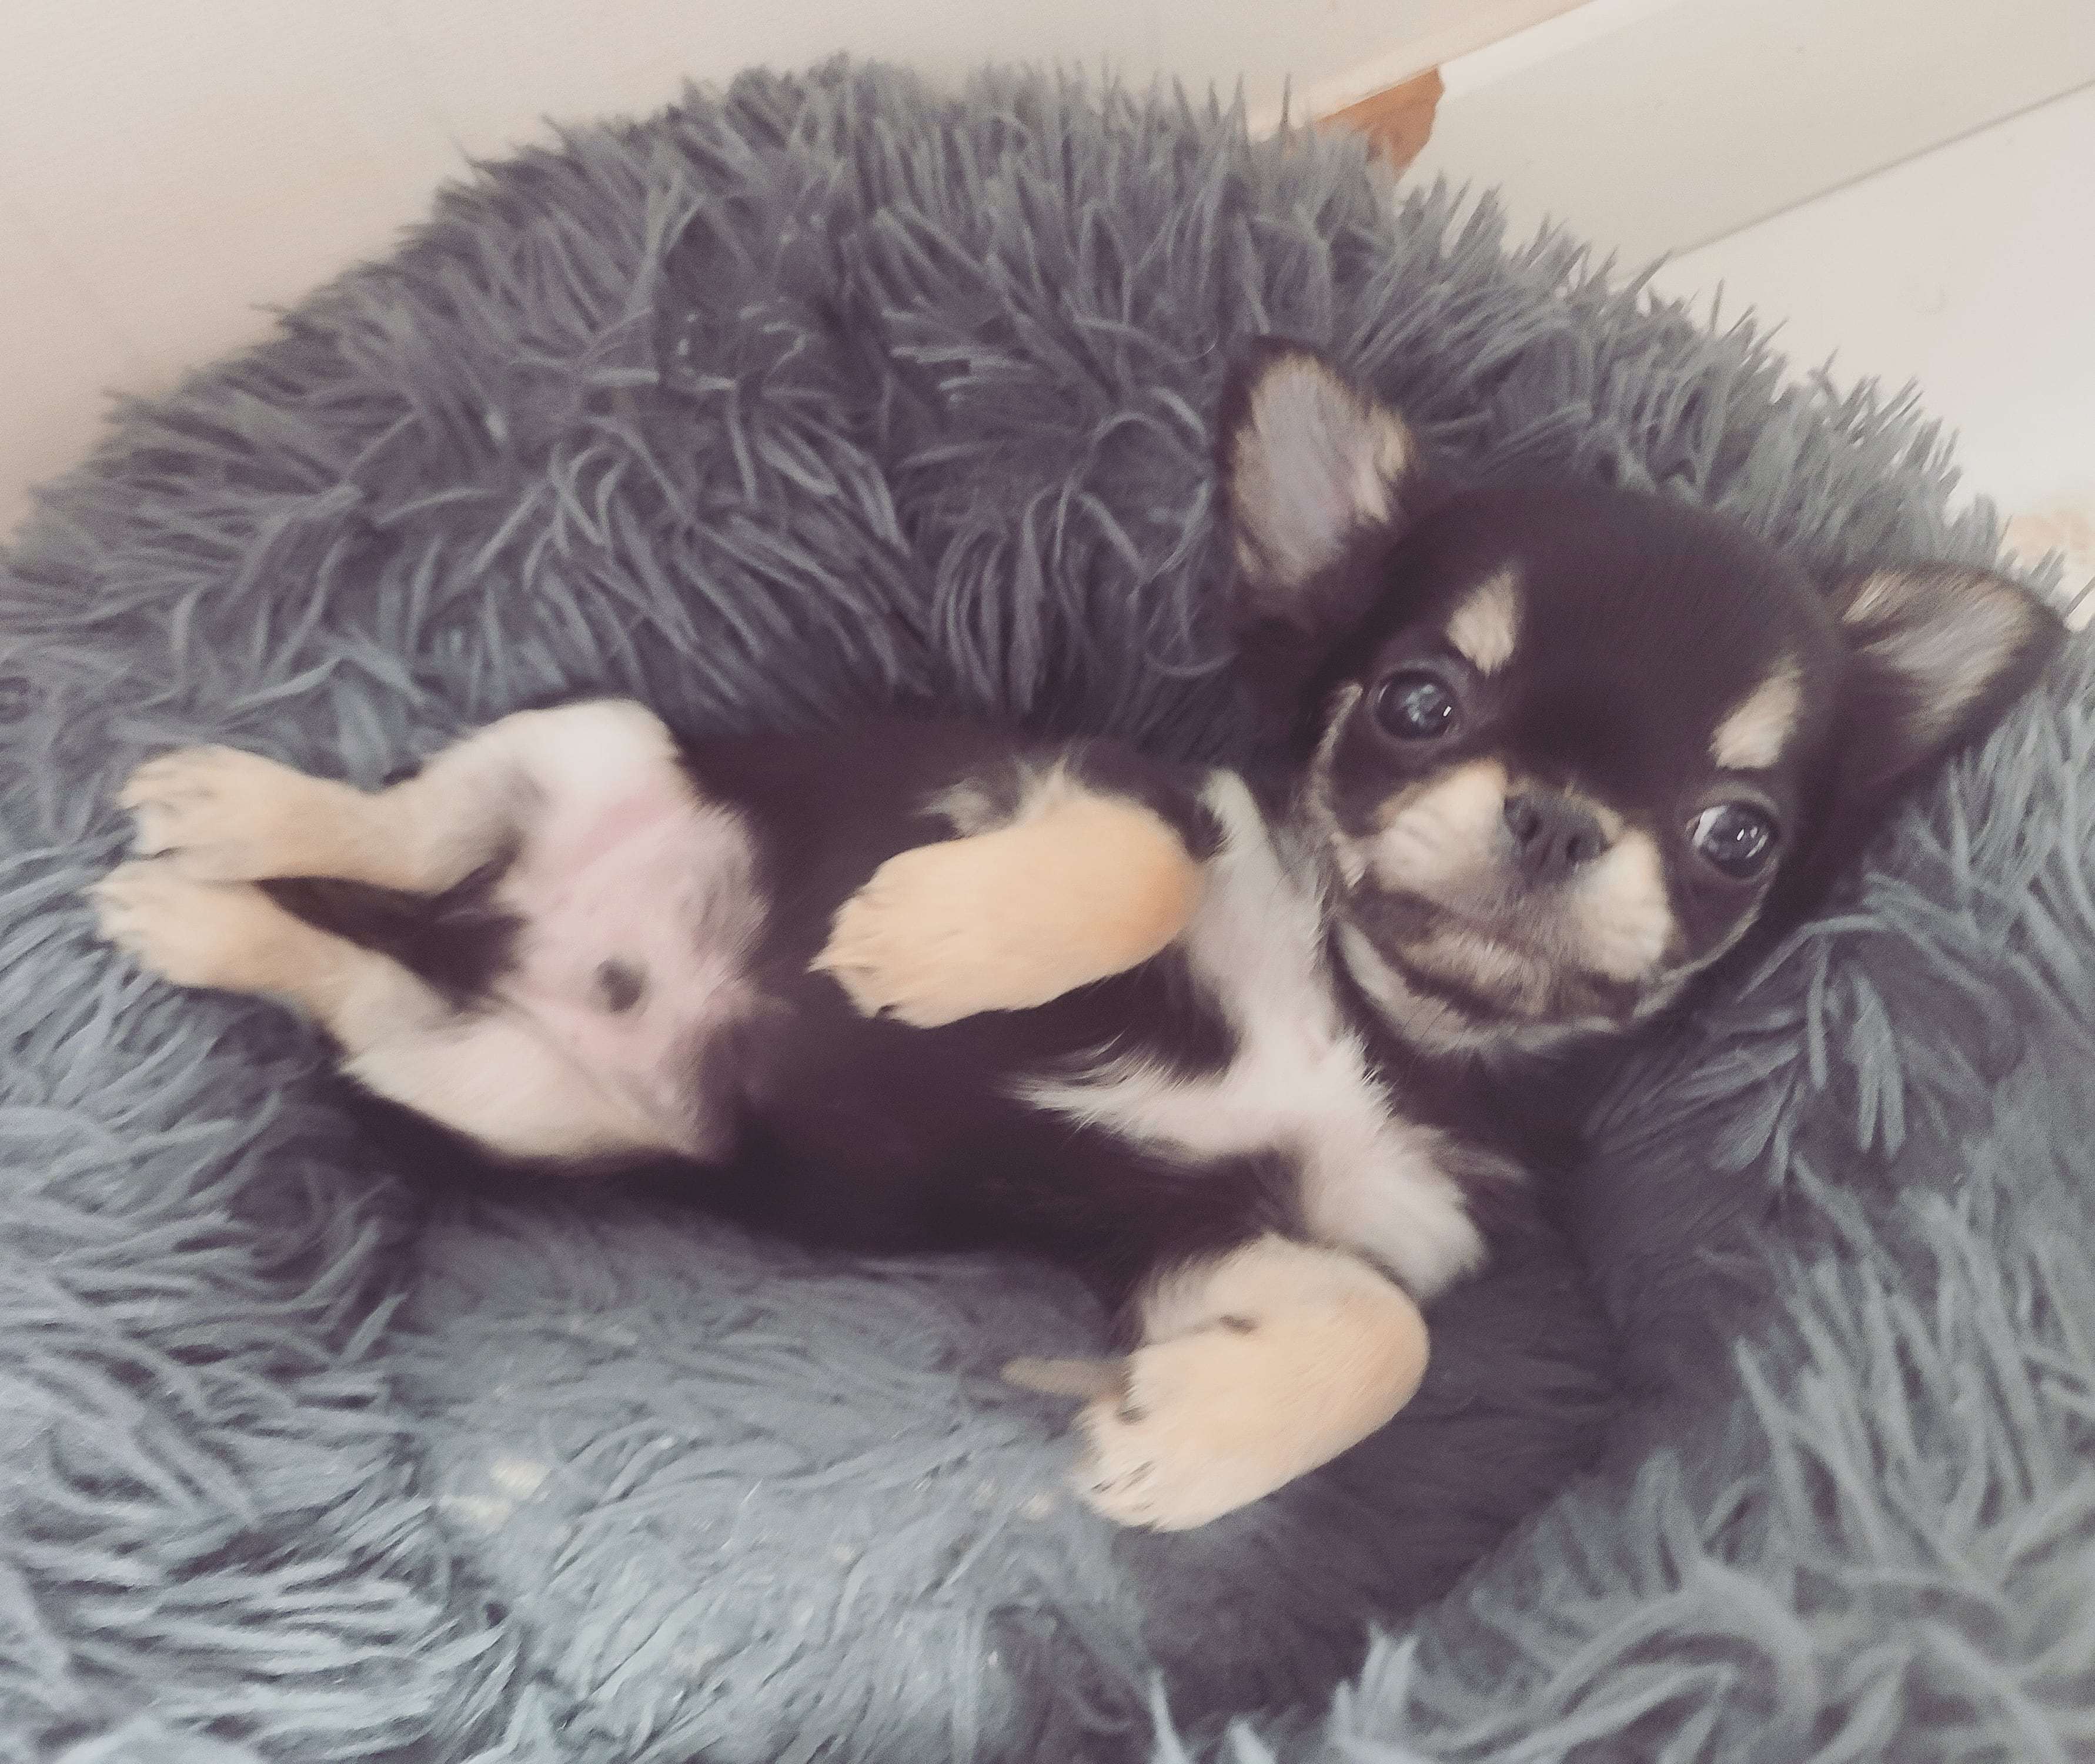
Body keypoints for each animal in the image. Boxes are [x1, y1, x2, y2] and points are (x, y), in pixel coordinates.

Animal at [92, 343, 2061, 1529]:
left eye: (1736, 837)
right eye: (1416, 704)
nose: (1563, 816)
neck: (1370, 1023)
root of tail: (515, 943)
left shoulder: (1215, 1246)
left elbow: (1385, 1341)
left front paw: (1182, 1448)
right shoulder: (1072, 781)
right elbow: (1142, 863)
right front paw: (926, 947)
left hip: (502, 1083)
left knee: (354, 970)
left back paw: (197, 909)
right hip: (585, 743)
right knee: (399, 833)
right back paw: (224, 826)